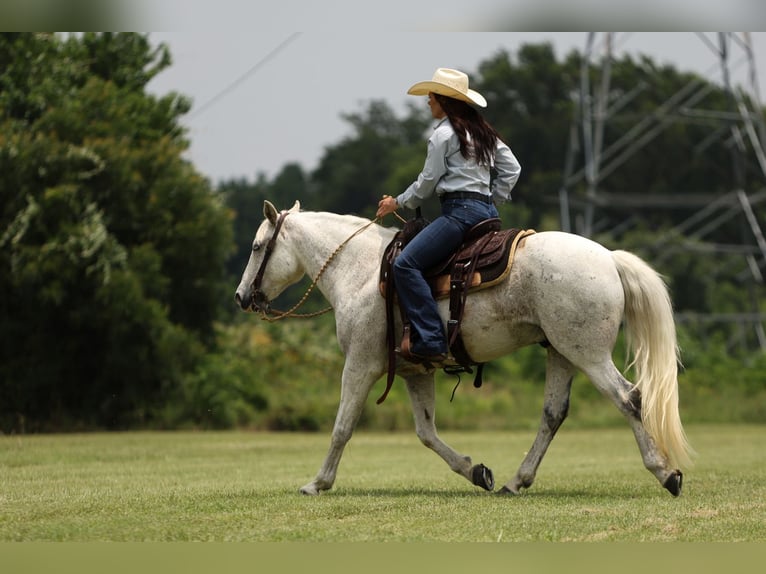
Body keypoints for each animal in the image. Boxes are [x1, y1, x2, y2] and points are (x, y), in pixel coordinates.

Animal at [235, 200, 693, 497]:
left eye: (256, 247)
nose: (241, 297)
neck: (361, 271)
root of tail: (608, 258)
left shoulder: (360, 365)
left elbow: (342, 427)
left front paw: (318, 482)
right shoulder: (415, 372)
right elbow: (426, 433)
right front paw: (477, 472)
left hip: (588, 354)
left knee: (629, 399)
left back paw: (665, 473)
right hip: (561, 351)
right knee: (553, 414)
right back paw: (514, 482)